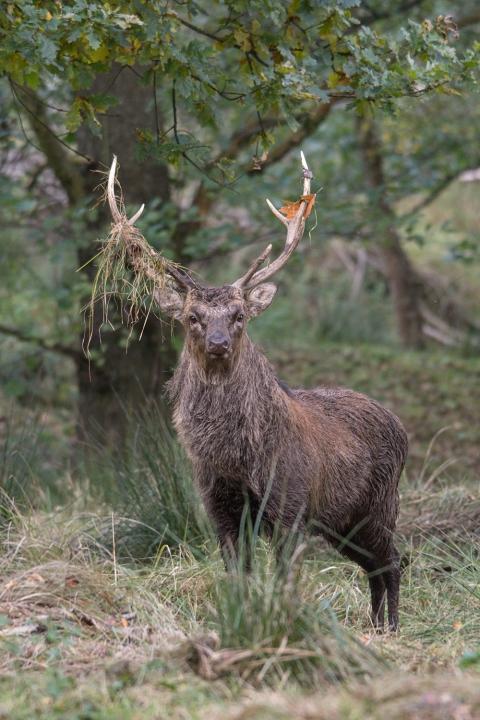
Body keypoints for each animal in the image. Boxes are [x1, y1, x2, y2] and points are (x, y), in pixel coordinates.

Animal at [106, 153, 408, 632]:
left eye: (239, 315)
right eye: (192, 316)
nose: (217, 343)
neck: (237, 457)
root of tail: (403, 429)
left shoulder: (291, 505)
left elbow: (285, 579)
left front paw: (283, 624)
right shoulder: (220, 509)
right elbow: (238, 577)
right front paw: (240, 619)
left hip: (377, 506)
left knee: (392, 560)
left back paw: (391, 628)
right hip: (343, 522)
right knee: (375, 566)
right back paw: (376, 626)